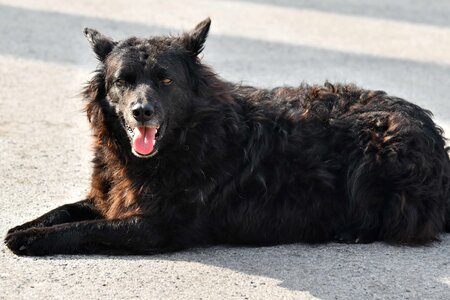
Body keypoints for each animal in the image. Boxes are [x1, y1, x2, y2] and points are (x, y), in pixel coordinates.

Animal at [4, 17, 450, 254]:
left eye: (165, 80)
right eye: (123, 81)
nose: (141, 111)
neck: (188, 138)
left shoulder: (154, 227)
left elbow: (83, 229)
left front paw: (31, 239)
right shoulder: (109, 198)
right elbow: (64, 211)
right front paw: (26, 225)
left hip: (382, 149)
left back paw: (352, 230)